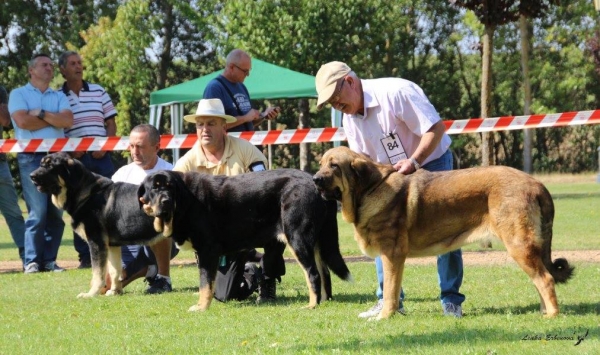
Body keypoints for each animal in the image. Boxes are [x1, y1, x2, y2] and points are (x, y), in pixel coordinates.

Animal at [30, 152, 164, 298]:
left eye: (50, 166)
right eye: (41, 164)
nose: (31, 176)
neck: (86, 194)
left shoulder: (96, 242)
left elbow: (98, 273)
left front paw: (91, 294)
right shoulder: (112, 245)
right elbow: (114, 271)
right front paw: (114, 291)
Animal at [137, 169, 352, 312]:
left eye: (170, 188)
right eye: (154, 189)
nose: (165, 201)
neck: (185, 200)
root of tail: (315, 184)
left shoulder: (208, 251)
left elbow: (205, 284)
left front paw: (201, 307)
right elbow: (204, 284)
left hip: (297, 238)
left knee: (313, 274)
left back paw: (312, 305)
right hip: (317, 243)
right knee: (325, 274)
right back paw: (324, 301)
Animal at [312, 146, 576, 322]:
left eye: (334, 166)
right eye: (322, 163)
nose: (314, 179)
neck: (369, 189)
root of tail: (536, 184)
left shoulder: (392, 255)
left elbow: (390, 291)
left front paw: (385, 316)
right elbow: (392, 290)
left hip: (519, 244)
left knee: (545, 279)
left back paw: (551, 315)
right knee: (540, 279)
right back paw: (544, 311)